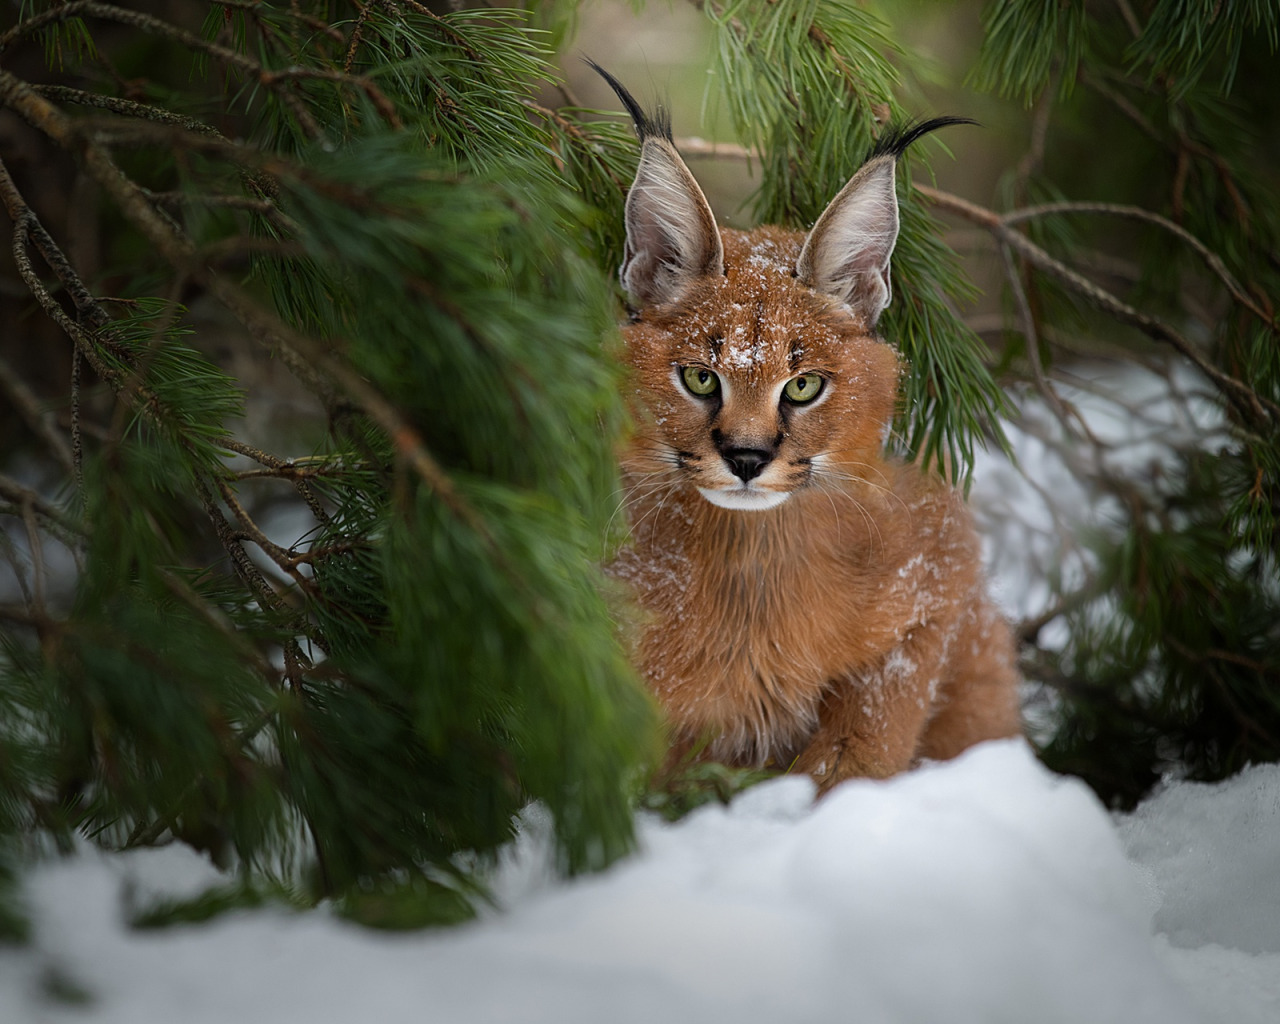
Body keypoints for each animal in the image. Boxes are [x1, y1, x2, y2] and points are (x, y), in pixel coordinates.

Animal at [593, 67, 1024, 793]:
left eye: (802, 387)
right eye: (701, 379)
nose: (746, 458)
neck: (752, 565)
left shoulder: (940, 567)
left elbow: (872, 728)